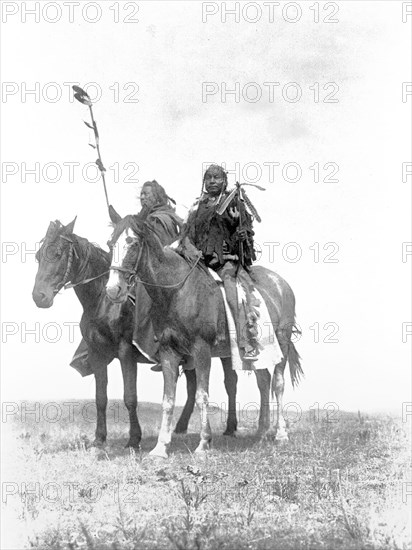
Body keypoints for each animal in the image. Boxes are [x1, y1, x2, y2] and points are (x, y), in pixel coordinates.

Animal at [31, 219, 211, 448]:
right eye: (38, 255)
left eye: (58, 253)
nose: (39, 297)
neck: (103, 301)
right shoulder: (96, 354)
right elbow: (100, 398)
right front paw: (99, 438)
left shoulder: (126, 352)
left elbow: (130, 397)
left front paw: (134, 438)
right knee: (192, 387)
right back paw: (180, 428)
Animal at [104, 218, 300, 460]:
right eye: (110, 244)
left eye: (133, 244)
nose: (113, 290)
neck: (177, 292)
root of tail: (281, 284)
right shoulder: (169, 353)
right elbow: (168, 400)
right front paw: (161, 447)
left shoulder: (201, 351)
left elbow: (201, 395)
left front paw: (204, 443)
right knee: (263, 382)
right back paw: (261, 433)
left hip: (282, 343)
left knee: (278, 383)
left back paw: (280, 434)